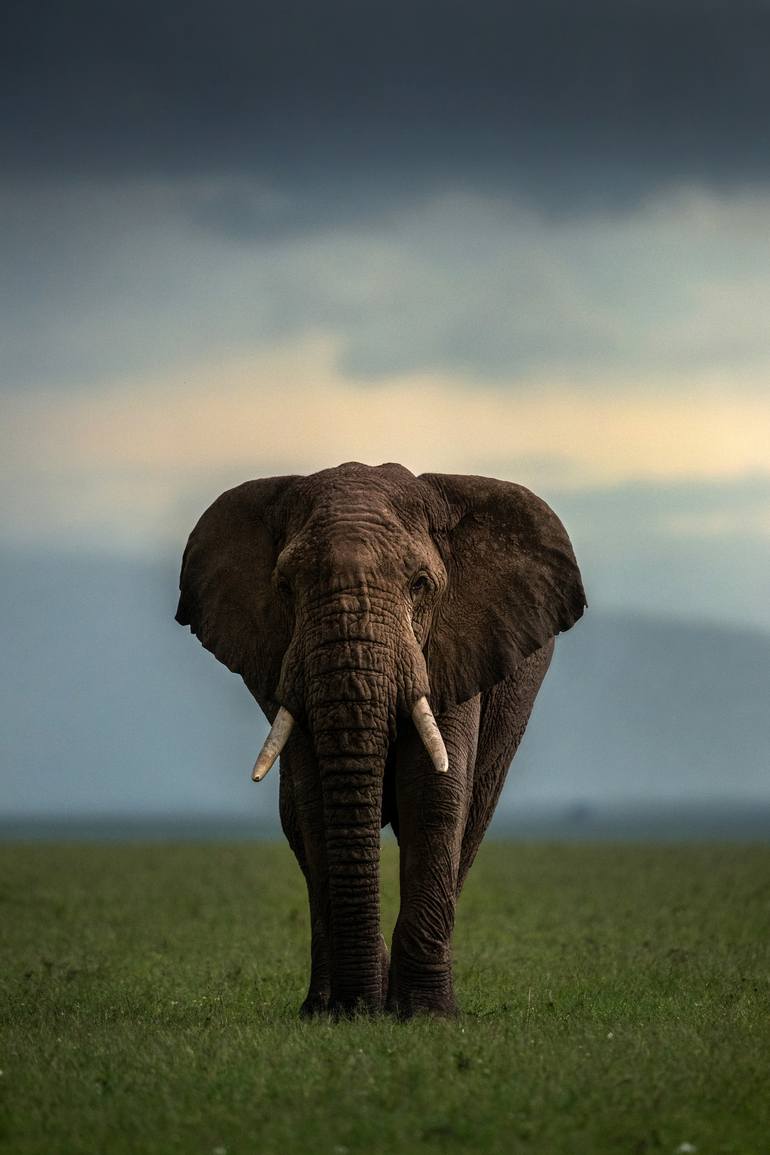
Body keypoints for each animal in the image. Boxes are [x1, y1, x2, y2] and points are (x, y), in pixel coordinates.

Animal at [175, 461, 585, 1017]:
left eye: (420, 584)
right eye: (284, 587)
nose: (360, 1007)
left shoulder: (451, 648)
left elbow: (434, 794)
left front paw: (426, 1015)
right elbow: (315, 806)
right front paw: (342, 1013)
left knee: (473, 815)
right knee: (295, 821)